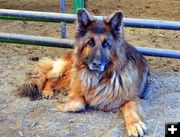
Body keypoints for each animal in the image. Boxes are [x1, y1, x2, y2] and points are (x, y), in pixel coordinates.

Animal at [20, 9, 149, 136]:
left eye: (106, 44)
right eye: (90, 43)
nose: (96, 64)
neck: (99, 77)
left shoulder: (131, 97)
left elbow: (130, 108)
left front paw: (134, 124)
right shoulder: (78, 88)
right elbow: (78, 103)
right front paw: (66, 104)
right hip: (68, 69)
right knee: (51, 78)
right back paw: (47, 91)